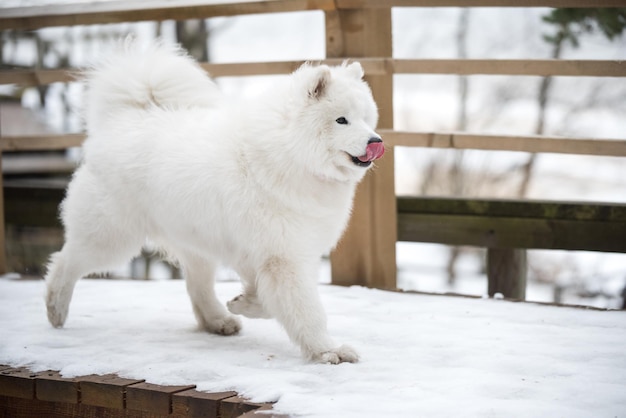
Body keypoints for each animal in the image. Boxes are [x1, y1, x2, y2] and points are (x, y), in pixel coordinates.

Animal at [44, 40, 382, 364]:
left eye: (366, 119)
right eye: (341, 120)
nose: (375, 141)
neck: (290, 156)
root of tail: (123, 119)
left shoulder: (284, 253)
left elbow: (270, 299)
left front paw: (244, 303)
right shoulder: (284, 257)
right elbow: (308, 311)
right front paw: (328, 350)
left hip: (196, 241)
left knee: (198, 286)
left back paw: (218, 320)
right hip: (113, 238)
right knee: (65, 261)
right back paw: (55, 309)